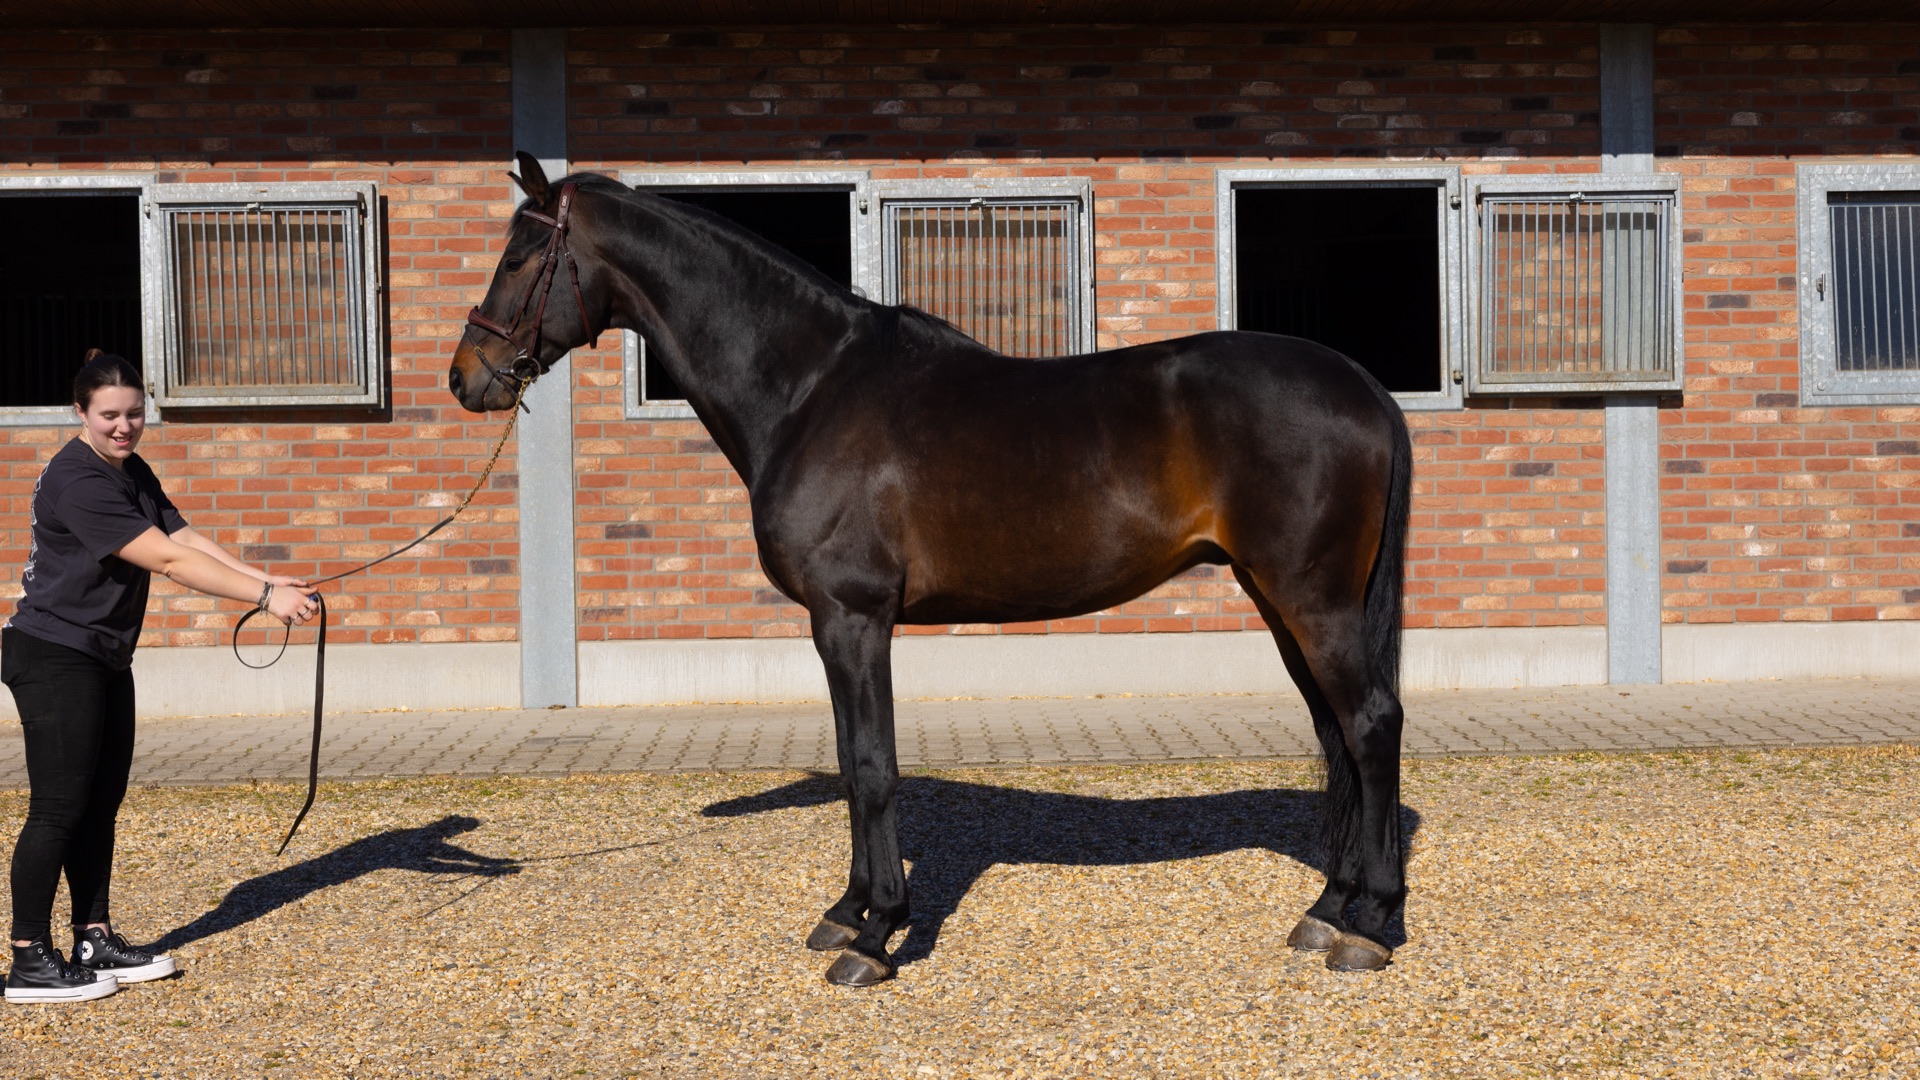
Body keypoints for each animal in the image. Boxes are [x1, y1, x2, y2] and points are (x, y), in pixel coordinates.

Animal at [449, 152, 1414, 985]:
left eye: (519, 255)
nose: (467, 378)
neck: (810, 388)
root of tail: (1364, 387)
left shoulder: (852, 615)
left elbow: (874, 767)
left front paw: (876, 936)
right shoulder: (837, 623)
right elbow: (850, 762)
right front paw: (846, 912)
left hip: (1313, 601)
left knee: (1369, 726)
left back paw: (1368, 927)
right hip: (1283, 601)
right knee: (1336, 734)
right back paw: (1326, 909)